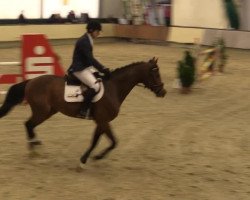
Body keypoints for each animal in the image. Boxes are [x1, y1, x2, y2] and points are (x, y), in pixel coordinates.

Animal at [0, 57, 166, 166]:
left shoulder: (101, 122)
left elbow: (98, 141)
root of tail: (31, 81)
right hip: (42, 112)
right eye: (155, 73)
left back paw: (35, 146)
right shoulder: (103, 121)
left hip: (49, 111)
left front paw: (87, 158)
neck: (114, 88)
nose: (162, 92)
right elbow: (111, 142)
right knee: (28, 124)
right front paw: (94, 157)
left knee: (30, 125)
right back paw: (34, 148)